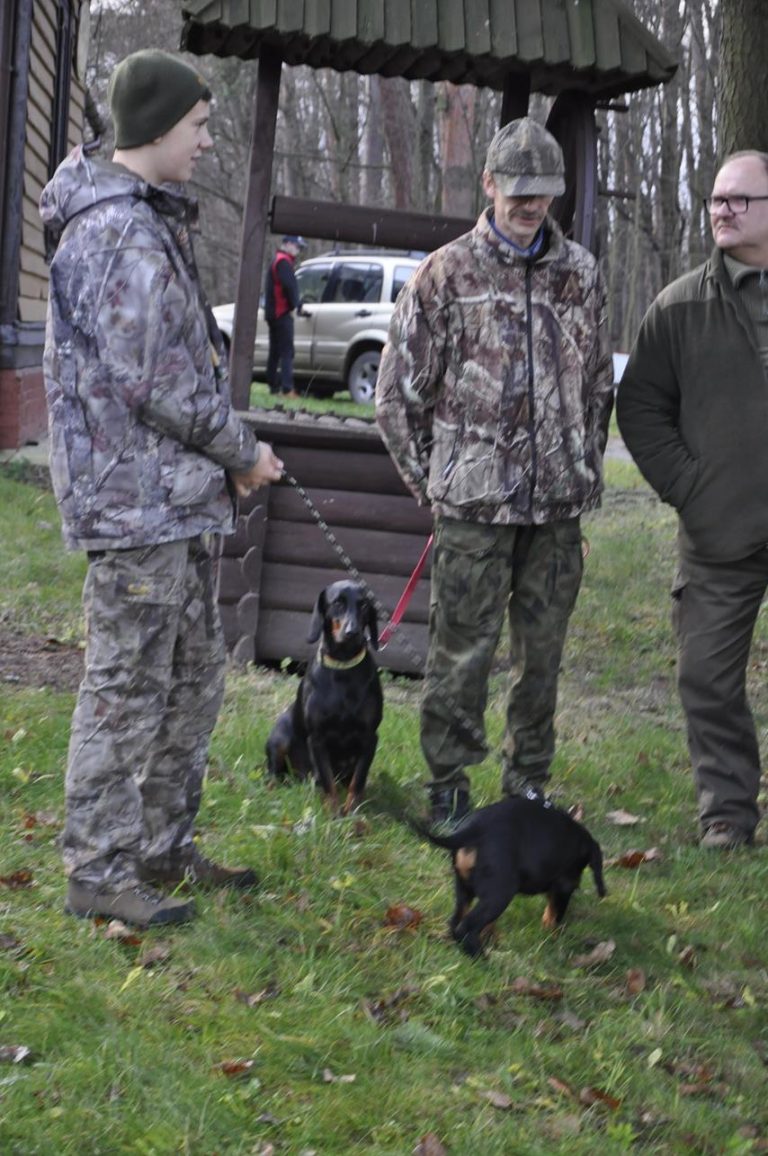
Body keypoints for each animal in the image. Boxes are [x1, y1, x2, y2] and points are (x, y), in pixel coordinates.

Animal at [266, 578, 381, 813]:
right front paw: (333, 812)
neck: (343, 669)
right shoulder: (317, 738)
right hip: (280, 736)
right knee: (273, 771)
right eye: (337, 602)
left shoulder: (370, 737)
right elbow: (327, 781)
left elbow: (358, 781)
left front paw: (353, 813)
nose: (352, 632)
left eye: (364, 605)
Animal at [421, 795, 606, 957]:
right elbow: (554, 914)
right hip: (500, 894)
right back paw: (483, 959)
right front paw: (552, 936)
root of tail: (473, 828)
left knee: (456, 922)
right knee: (465, 927)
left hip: (464, 887)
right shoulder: (563, 887)